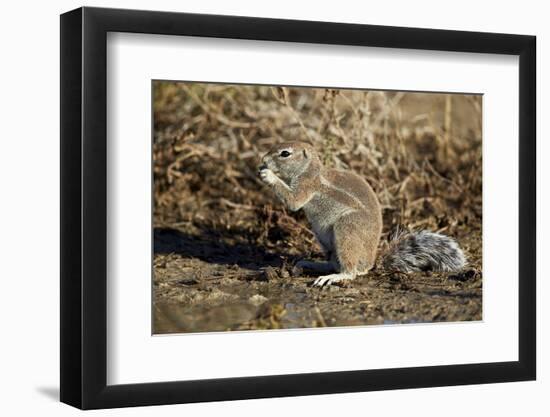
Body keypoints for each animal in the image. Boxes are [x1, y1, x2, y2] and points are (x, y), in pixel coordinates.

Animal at [258, 141, 466, 286]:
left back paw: (333, 277)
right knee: (335, 262)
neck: (310, 170)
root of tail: (373, 261)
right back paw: (312, 264)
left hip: (346, 229)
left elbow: (293, 201)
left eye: (285, 153)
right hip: (326, 242)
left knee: (352, 271)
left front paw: (268, 175)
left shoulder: (306, 186)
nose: (262, 160)